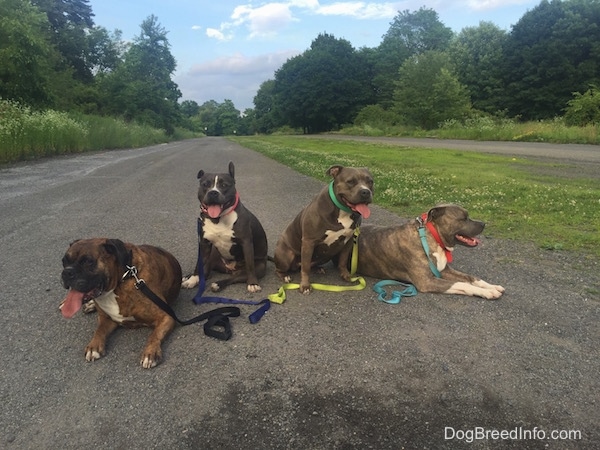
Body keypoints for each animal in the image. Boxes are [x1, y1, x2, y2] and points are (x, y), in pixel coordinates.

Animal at [61, 237, 184, 368]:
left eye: (88, 261)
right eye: (64, 262)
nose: (66, 272)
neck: (122, 279)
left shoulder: (166, 317)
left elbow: (154, 335)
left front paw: (150, 353)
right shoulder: (107, 319)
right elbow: (99, 330)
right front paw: (94, 346)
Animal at [274, 163, 372, 294]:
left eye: (370, 182)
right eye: (350, 181)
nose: (366, 192)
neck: (343, 211)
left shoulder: (349, 240)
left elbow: (343, 260)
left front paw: (345, 275)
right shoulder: (308, 242)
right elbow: (305, 267)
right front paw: (305, 285)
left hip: (325, 256)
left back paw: (318, 269)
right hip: (286, 256)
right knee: (282, 268)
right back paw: (285, 276)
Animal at [356, 204, 506, 298]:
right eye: (463, 218)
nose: (483, 224)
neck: (433, 238)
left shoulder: (444, 270)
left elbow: (471, 277)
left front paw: (492, 287)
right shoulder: (427, 281)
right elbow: (462, 284)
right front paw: (487, 292)